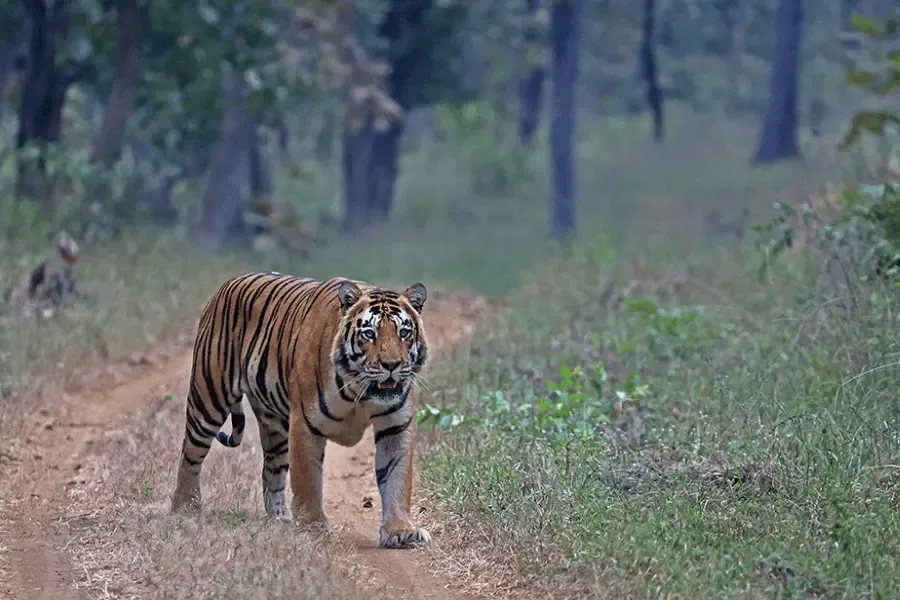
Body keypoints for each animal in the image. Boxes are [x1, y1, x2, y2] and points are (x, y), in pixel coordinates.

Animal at [170, 272, 432, 549]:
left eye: (404, 332)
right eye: (369, 334)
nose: (392, 365)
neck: (361, 391)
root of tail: (228, 283)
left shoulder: (396, 427)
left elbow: (397, 478)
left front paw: (400, 531)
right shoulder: (306, 424)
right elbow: (308, 481)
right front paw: (313, 527)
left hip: (275, 427)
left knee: (271, 471)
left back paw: (280, 519)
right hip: (208, 398)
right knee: (190, 454)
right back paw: (185, 508)